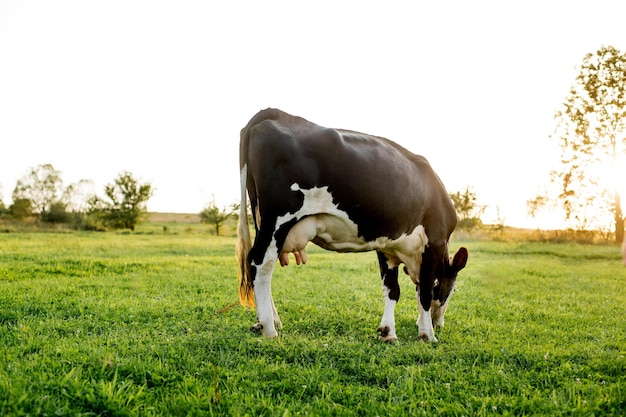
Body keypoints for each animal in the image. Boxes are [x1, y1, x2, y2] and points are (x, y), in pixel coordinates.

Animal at [236, 107, 466, 342]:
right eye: (453, 289)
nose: (439, 323)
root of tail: (274, 113)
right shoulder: (434, 241)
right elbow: (426, 290)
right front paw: (427, 335)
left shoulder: (387, 247)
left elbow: (393, 290)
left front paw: (388, 333)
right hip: (278, 219)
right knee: (261, 262)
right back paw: (269, 329)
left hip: (261, 218)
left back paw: (267, 321)